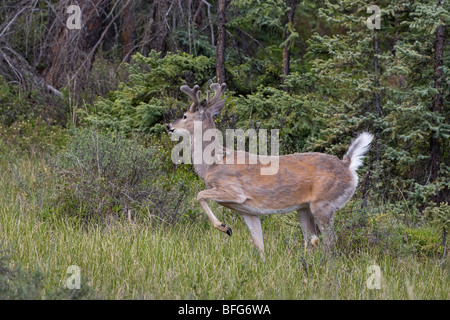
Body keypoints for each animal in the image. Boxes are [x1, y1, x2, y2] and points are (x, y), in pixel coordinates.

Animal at [167, 82, 374, 258]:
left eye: (185, 115)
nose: (169, 126)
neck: (212, 163)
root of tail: (348, 166)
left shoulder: (234, 191)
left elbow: (199, 195)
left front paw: (225, 228)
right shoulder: (248, 210)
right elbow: (259, 244)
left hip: (324, 203)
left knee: (330, 241)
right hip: (304, 208)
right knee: (311, 241)